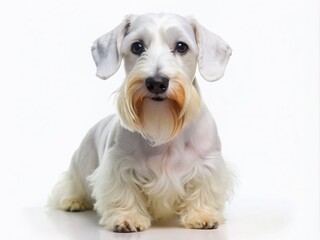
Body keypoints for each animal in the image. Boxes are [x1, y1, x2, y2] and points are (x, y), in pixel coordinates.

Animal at [48, 12, 232, 232]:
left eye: (181, 46)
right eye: (137, 46)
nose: (157, 82)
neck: (161, 124)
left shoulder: (207, 164)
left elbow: (203, 190)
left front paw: (202, 215)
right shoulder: (120, 167)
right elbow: (124, 193)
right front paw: (127, 218)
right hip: (81, 165)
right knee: (72, 184)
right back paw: (73, 201)